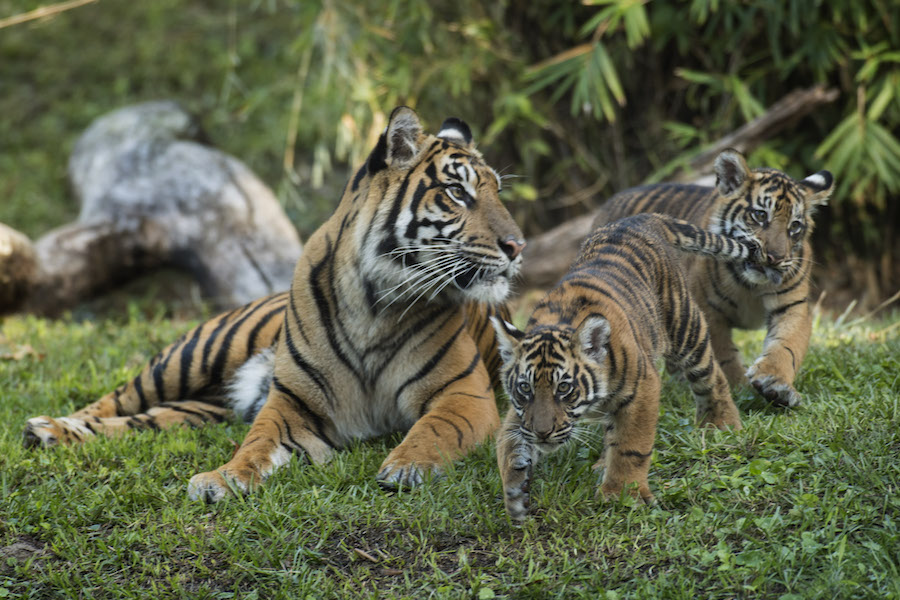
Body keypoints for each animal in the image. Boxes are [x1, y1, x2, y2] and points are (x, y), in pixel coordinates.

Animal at [24, 108, 524, 502]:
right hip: (188, 357)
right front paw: (222, 479)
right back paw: (48, 428)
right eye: (458, 192)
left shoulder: (464, 395)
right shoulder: (294, 404)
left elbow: (433, 430)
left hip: (199, 410)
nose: (518, 245)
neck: (375, 303)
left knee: (145, 420)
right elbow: (256, 444)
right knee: (114, 400)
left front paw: (406, 466)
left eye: (498, 192)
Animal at [488, 212, 756, 520]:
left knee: (711, 376)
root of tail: (638, 219)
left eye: (564, 388)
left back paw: (722, 425)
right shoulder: (520, 412)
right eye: (524, 389)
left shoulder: (643, 388)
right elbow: (508, 444)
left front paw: (622, 495)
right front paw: (514, 492)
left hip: (685, 327)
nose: (542, 433)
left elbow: (631, 446)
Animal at [596, 150, 832, 408]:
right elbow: (724, 356)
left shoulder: (792, 306)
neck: (751, 285)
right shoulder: (708, 310)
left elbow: (787, 345)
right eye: (760, 215)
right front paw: (739, 389)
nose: (775, 258)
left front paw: (775, 383)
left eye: (795, 226)